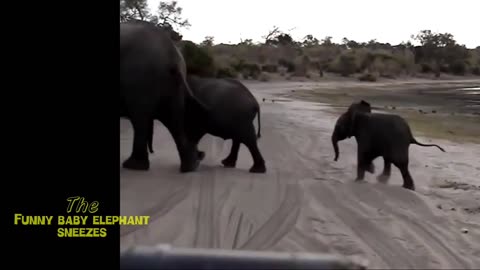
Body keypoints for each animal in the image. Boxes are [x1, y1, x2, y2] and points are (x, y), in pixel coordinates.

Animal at [120, 20, 206, 173]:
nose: (202, 154)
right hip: (170, 82)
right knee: (174, 118)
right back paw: (191, 166)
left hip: (141, 77)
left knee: (140, 119)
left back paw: (132, 166)